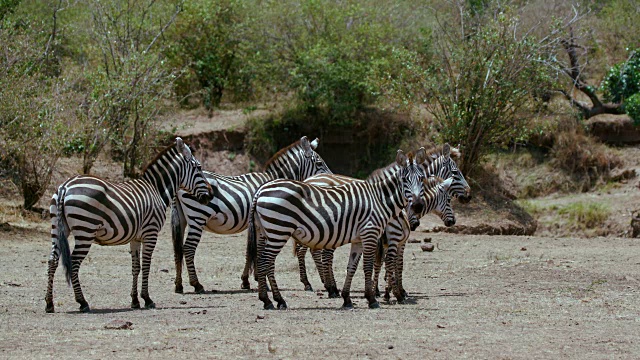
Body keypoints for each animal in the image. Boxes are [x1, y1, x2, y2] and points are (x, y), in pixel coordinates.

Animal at [46, 138, 215, 312]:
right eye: (198, 167)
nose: (211, 194)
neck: (156, 189)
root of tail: (65, 187)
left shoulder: (135, 238)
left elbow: (136, 267)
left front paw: (135, 300)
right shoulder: (151, 233)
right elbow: (146, 265)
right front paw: (147, 299)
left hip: (58, 228)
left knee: (52, 260)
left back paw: (49, 303)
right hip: (85, 231)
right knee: (73, 262)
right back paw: (82, 302)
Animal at [170, 136, 332, 294]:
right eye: (319, 163)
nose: (331, 179)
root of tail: (179, 186)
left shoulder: (255, 224)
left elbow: (250, 250)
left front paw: (247, 280)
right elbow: (258, 250)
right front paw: (260, 280)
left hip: (182, 220)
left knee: (178, 249)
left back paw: (179, 285)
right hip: (198, 217)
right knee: (188, 249)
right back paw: (197, 284)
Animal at [248, 149, 428, 310]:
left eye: (422, 179)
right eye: (404, 179)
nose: (418, 206)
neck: (379, 199)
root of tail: (261, 190)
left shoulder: (359, 239)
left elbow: (352, 267)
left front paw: (347, 299)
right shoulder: (370, 234)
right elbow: (368, 267)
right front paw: (372, 299)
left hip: (266, 231)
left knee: (265, 262)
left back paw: (273, 299)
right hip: (278, 230)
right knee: (265, 262)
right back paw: (271, 300)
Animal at [296, 143, 470, 298]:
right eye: (455, 172)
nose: (468, 196)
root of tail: (309, 180)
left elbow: (380, 260)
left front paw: (382, 288)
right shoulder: (393, 233)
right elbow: (392, 261)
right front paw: (394, 290)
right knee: (316, 253)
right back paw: (326, 287)